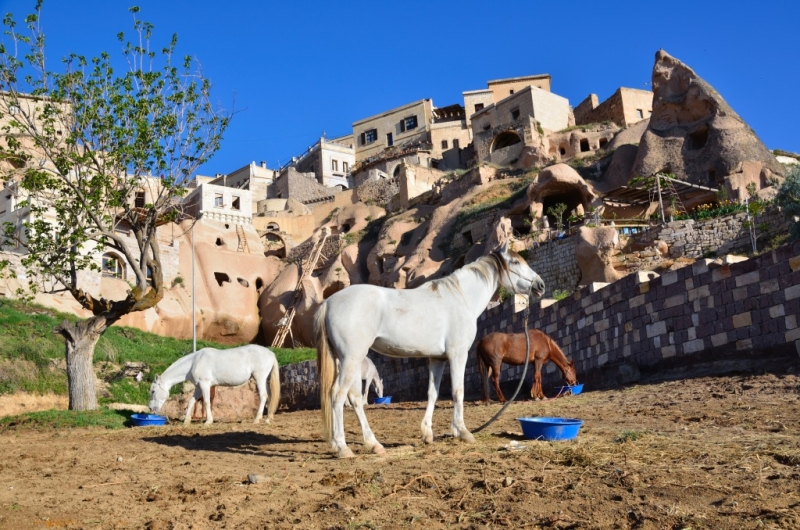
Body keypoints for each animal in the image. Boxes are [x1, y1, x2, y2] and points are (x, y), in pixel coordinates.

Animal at [149, 342, 282, 424]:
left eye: (153, 391)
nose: (151, 408)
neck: (194, 362)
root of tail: (270, 353)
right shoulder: (198, 387)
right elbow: (191, 402)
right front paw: (186, 421)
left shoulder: (205, 385)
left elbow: (206, 402)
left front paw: (208, 421)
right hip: (265, 380)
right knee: (269, 396)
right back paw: (268, 418)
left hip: (260, 378)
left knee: (263, 396)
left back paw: (257, 419)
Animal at [316, 241, 548, 456]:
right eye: (516, 262)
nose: (540, 285)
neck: (461, 297)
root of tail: (329, 302)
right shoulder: (457, 355)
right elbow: (457, 391)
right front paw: (462, 432)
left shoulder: (437, 359)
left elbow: (432, 394)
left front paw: (427, 434)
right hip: (352, 359)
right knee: (338, 395)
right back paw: (343, 447)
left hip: (347, 361)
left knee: (354, 398)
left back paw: (373, 444)